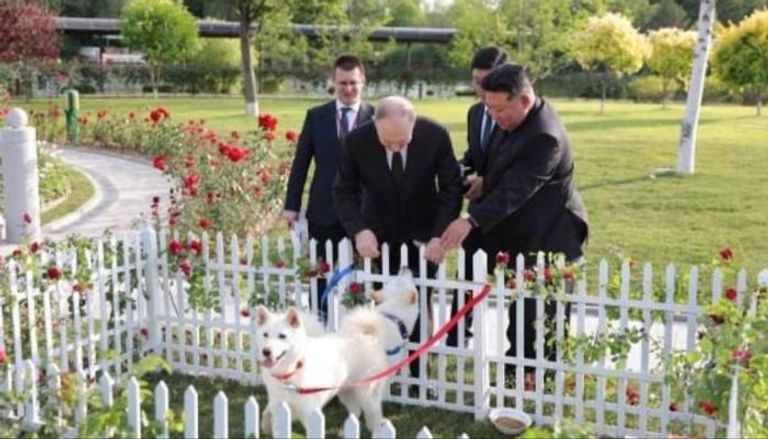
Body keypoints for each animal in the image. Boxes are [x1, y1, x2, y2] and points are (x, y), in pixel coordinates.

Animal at [256, 270, 420, 434]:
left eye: (282, 336)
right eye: (265, 335)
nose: (266, 351)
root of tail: (368, 335)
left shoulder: (309, 413)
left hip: (360, 392)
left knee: (368, 413)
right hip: (351, 392)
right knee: (361, 412)